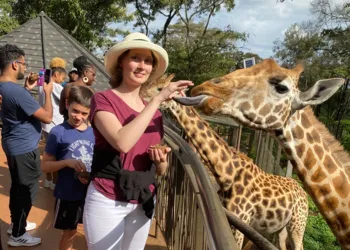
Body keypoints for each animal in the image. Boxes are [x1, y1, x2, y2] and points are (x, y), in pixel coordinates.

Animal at [174, 59, 350, 249]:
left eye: (281, 87)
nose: (204, 88)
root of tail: (302, 192)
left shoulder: (241, 219)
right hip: (282, 228)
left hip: (298, 224)